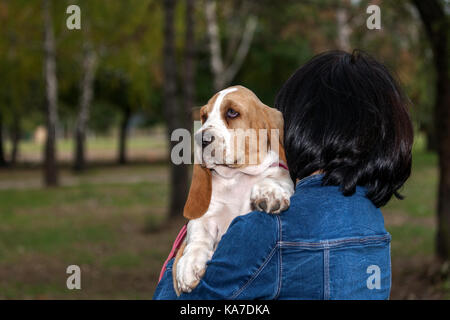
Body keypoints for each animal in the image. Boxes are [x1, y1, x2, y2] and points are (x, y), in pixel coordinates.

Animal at [172, 84, 296, 296]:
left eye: (232, 112)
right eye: (204, 116)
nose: (200, 139)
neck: (236, 177)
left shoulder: (279, 175)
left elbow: (275, 179)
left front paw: (268, 193)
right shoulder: (206, 215)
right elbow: (197, 234)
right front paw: (189, 264)